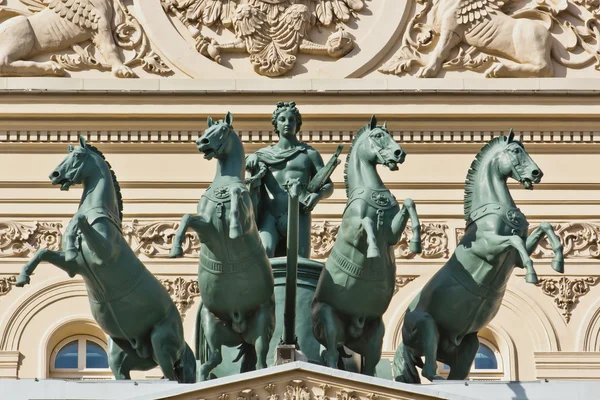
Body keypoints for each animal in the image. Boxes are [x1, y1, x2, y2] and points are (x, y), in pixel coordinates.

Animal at [14, 136, 196, 382]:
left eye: (77, 155)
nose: (54, 174)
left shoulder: (104, 254)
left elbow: (79, 219)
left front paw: (71, 240)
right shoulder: (75, 267)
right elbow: (43, 251)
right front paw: (24, 276)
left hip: (162, 344)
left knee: (171, 376)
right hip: (119, 357)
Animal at [170, 112, 276, 382]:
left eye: (224, 130)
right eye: (208, 129)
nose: (202, 142)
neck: (223, 185)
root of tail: (239, 325)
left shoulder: (248, 220)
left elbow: (239, 194)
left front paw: (234, 226)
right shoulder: (206, 228)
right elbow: (186, 217)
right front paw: (176, 248)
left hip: (261, 328)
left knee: (261, 363)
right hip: (213, 328)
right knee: (211, 362)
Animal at [314, 115, 422, 376]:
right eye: (377, 136)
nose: (399, 153)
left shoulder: (392, 234)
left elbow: (409, 203)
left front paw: (416, 242)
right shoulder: (353, 232)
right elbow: (368, 224)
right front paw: (373, 251)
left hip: (374, 337)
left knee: (370, 368)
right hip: (329, 322)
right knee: (331, 355)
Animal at [396, 130, 564, 382]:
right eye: (516, 150)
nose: (537, 173)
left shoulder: (514, 257)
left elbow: (545, 227)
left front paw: (557, 261)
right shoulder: (489, 247)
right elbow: (515, 242)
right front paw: (532, 274)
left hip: (468, 347)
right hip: (427, 326)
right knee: (428, 370)